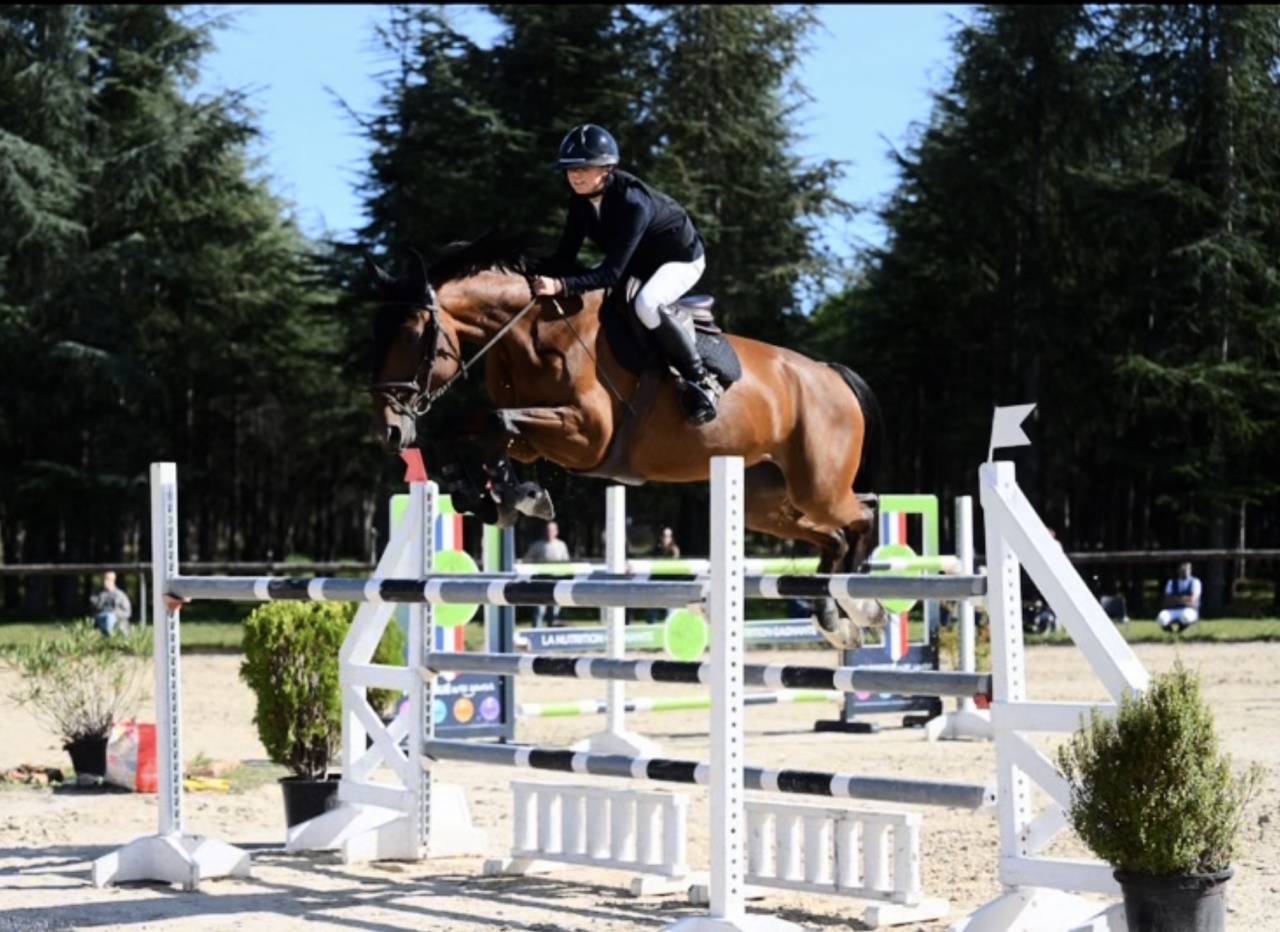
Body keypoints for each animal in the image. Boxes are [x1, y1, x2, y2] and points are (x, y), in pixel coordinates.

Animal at [365, 236, 885, 649]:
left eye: (411, 335)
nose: (391, 430)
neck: (529, 333)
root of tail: (830, 374)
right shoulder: (535, 438)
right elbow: (477, 431)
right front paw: (496, 495)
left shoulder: (586, 436)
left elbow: (495, 423)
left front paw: (516, 496)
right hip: (767, 501)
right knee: (834, 536)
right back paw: (834, 619)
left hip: (817, 487)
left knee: (864, 514)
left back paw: (864, 609)